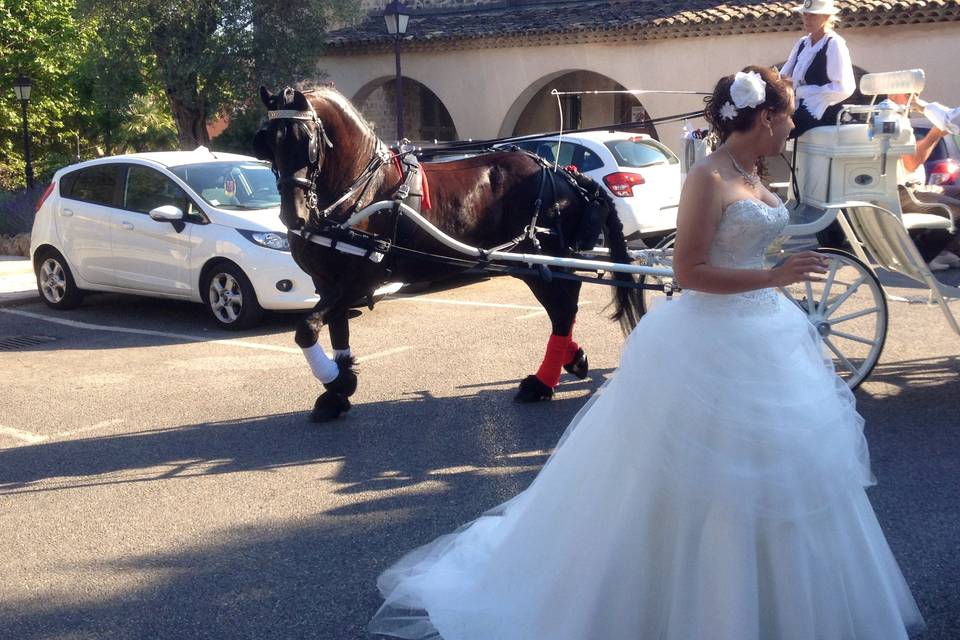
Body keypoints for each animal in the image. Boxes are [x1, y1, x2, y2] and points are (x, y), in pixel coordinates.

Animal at [255, 87, 644, 422]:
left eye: (306, 141)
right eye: (268, 143)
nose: (294, 216)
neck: (362, 190)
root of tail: (563, 173)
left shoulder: (359, 278)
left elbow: (306, 329)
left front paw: (338, 382)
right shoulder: (327, 281)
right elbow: (337, 331)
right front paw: (338, 390)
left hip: (541, 261)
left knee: (562, 310)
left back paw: (541, 382)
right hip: (536, 264)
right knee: (563, 309)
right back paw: (570, 361)